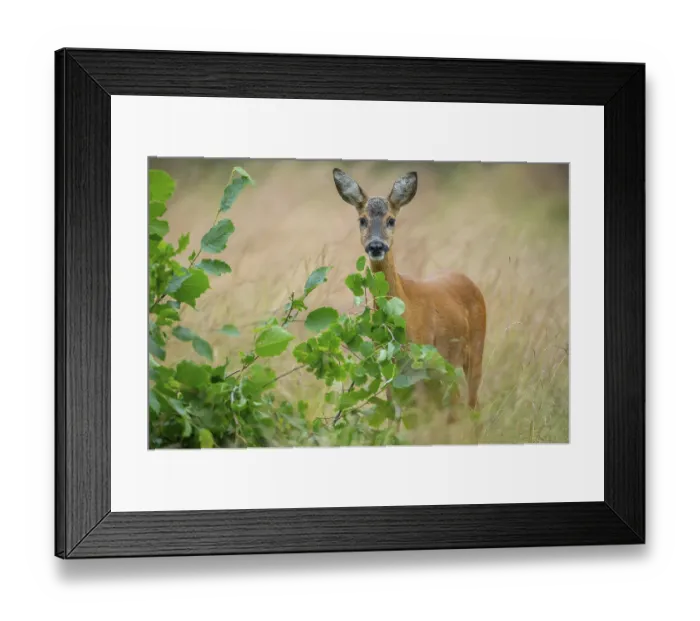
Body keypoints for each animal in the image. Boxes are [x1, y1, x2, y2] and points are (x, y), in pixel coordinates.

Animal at [332, 168, 487, 424]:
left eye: (391, 220)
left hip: (473, 352)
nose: (376, 246)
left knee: (472, 407)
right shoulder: (390, 370)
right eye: (362, 220)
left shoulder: (419, 362)